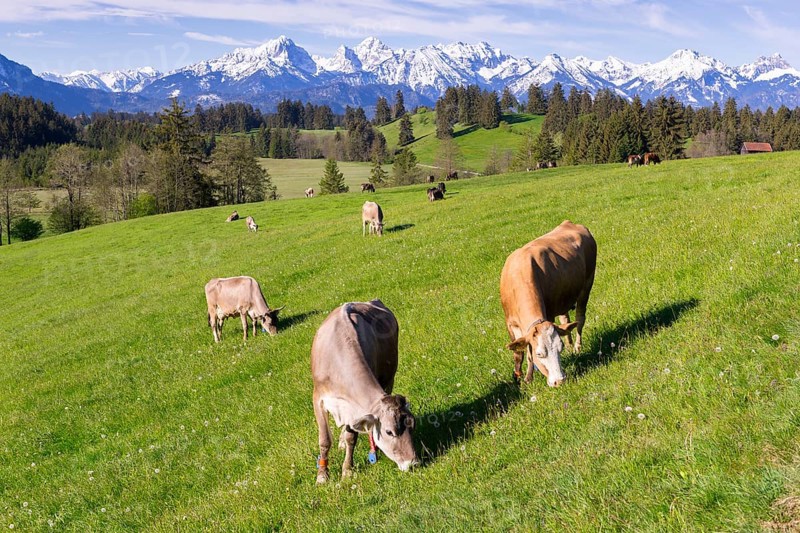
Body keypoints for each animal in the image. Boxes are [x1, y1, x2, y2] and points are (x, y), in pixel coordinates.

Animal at [311, 300, 418, 483]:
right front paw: (322, 475)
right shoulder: (318, 397)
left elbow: (351, 437)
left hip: (389, 378)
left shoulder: (354, 408)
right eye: (389, 431)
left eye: (412, 425)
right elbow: (324, 440)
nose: (413, 463)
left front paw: (347, 470)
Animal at [500, 220, 597, 388]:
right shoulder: (510, 323)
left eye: (559, 349)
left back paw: (577, 347)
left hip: (587, 285)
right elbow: (519, 353)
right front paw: (522, 377)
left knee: (580, 319)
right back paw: (570, 345)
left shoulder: (548, 313)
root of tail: (571, 223)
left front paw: (528, 377)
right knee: (565, 321)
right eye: (540, 353)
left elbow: (528, 355)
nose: (560, 381)